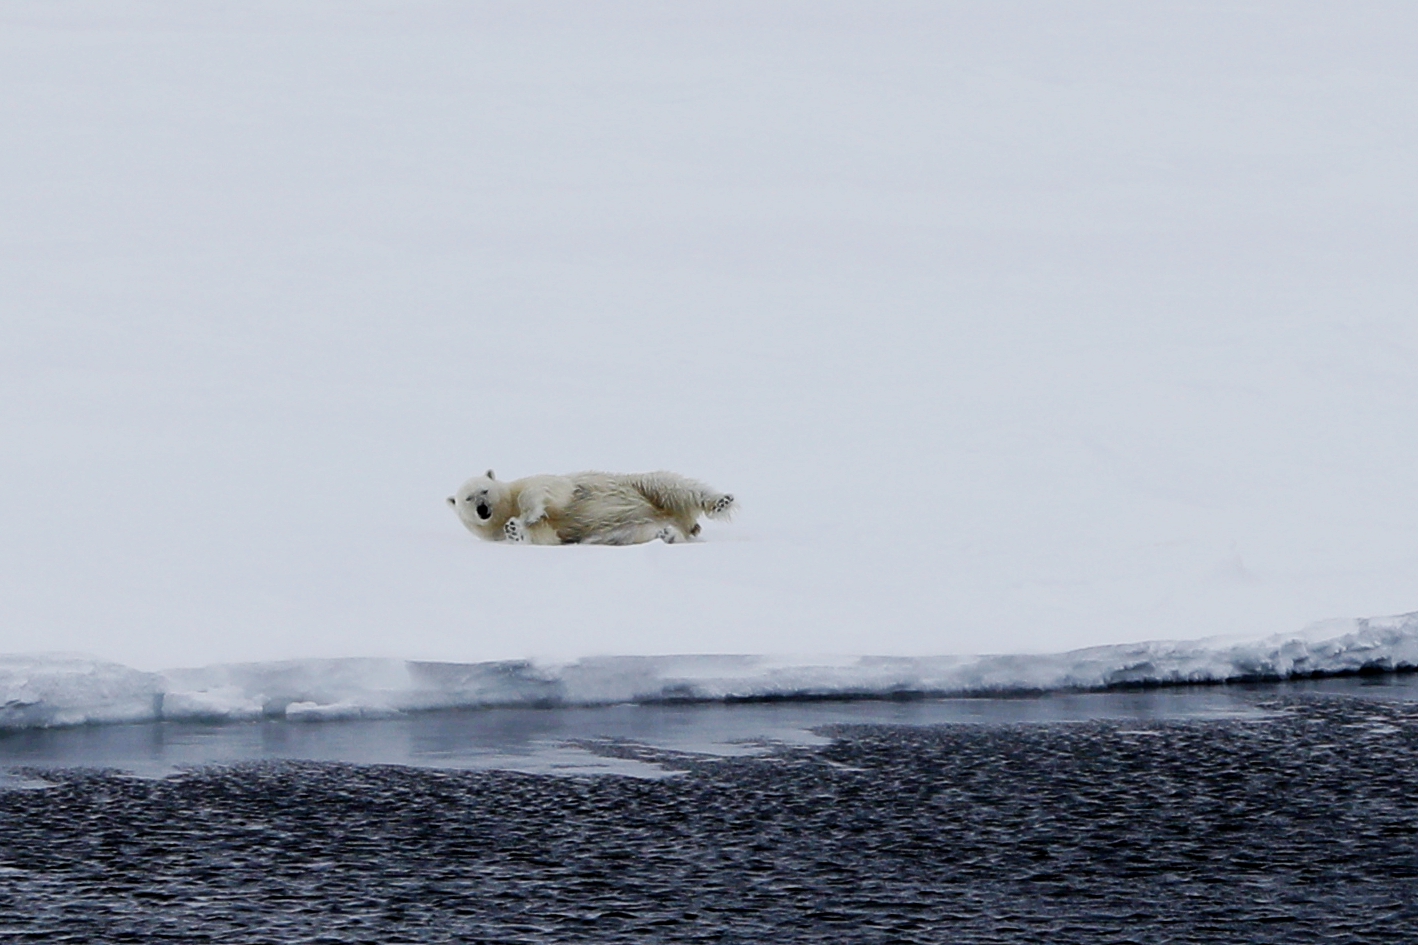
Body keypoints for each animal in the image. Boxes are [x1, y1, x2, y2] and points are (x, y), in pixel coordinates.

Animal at [445, 468, 737, 544]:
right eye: (467, 499)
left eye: (484, 490)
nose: (483, 509)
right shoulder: (493, 535)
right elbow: (545, 536)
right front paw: (516, 530)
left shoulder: (533, 484)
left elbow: (544, 490)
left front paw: (524, 518)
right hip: (625, 530)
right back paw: (667, 534)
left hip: (641, 485)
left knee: (673, 486)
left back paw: (721, 502)